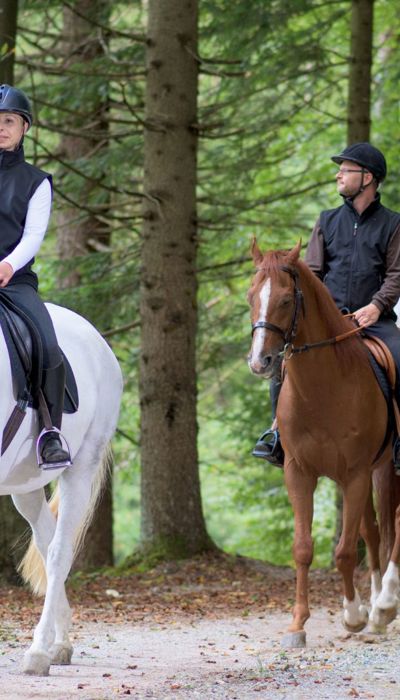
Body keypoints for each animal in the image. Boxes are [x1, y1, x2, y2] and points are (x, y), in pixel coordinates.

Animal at [0, 302, 123, 675]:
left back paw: (40, 651)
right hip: (24, 485)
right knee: (46, 541)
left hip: (80, 468)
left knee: (59, 551)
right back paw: (60, 642)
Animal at [247, 239, 400, 648]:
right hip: (379, 470)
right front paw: (298, 623)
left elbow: (345, 552)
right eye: (252, 295)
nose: (260, 361)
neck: (325, 389)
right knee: (377, 530)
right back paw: (378, 606)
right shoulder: (299, 472)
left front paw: (353, 615)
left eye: (286, 299)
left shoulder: (355, 474)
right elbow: (304, 548)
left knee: (394, 526)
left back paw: (385, 604)